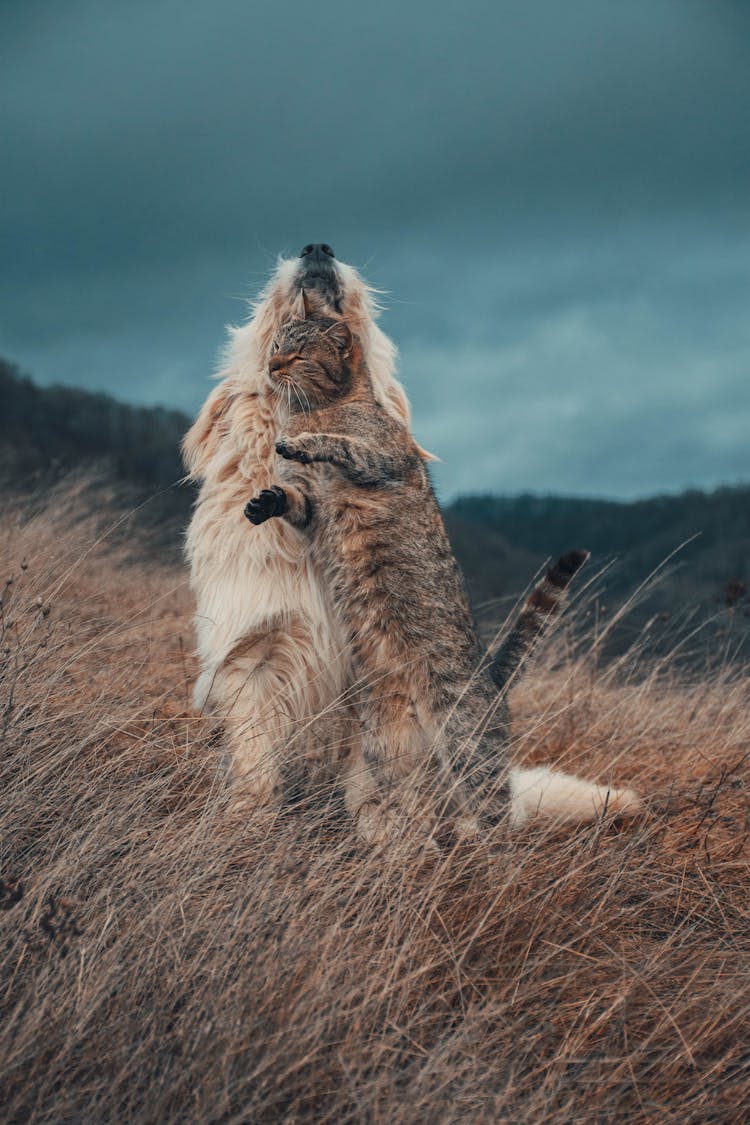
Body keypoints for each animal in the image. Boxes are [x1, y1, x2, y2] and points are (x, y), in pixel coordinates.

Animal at [245, 317, 638, 846]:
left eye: (300, 354)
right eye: (277, 344)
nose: (272, 365)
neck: (318, 407)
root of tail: (491, 679)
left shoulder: (386, 457)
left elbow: (345, 445)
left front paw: (308, 444)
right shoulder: (309, 506)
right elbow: (290, 498)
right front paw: (263, 501)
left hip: (465, 739)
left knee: (495, 806)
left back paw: (482, 848)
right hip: (389, 750)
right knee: (420, 803)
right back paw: (412, 846)